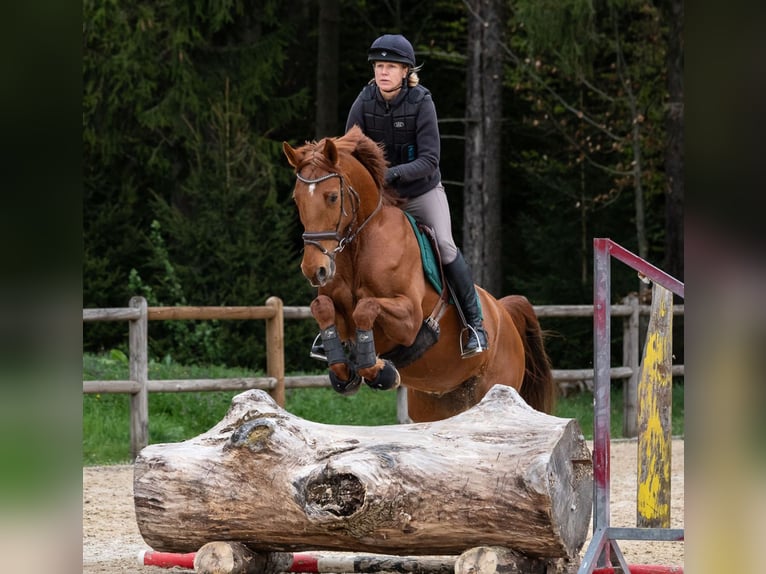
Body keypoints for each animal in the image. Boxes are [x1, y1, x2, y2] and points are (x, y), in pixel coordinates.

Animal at [283, 126, 555, 421]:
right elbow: (323, 307)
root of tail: (503, 312)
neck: (359, 249)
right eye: (297, 199)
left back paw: (476, 336)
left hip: (495, 389)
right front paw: (345, 372)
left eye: (332, 196)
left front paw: (382, 371)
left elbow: (365, 308)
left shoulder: (409, 318)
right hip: (436, 403)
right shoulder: (337, 309)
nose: (314, 270)